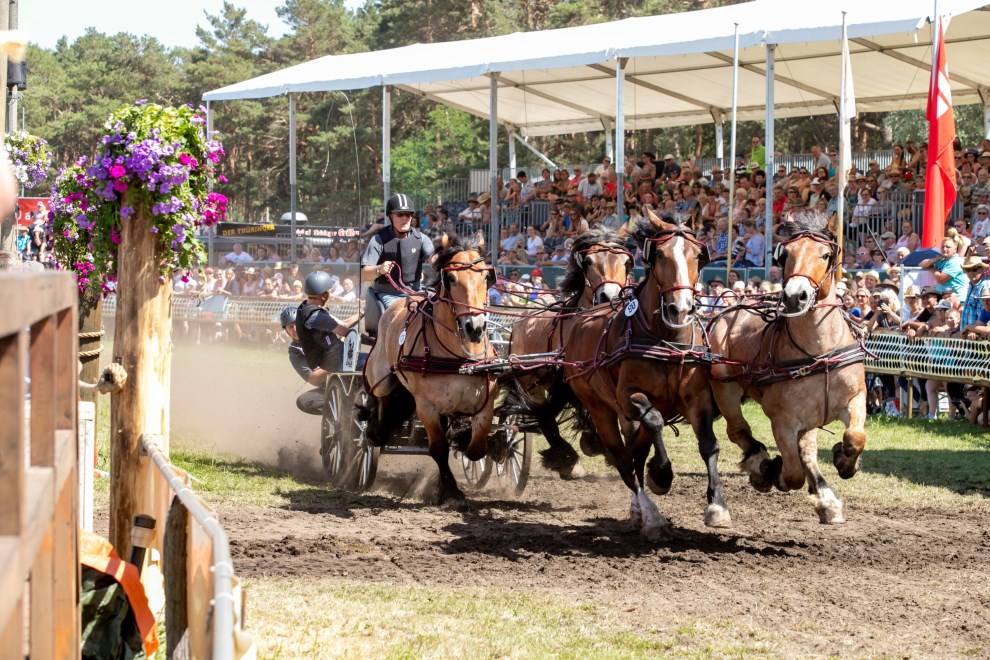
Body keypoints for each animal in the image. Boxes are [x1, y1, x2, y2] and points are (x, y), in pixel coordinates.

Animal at [358, 234, 498, 508]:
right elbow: (439, 449)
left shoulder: (485, 402)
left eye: (487, 277)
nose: (474, 327)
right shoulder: (426, 406)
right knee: (379, 398)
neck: (458, 358)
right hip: (379, 376)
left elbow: (477, 448)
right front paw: (452, 493)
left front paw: (463, 438)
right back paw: (375, 429)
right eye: (451, 278)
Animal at [504, 228, 634, 479]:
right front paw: (596, 445)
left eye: (626, 262)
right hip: (529, 381)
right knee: (545, 419)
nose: (610, 297)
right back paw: (566, 459)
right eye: (589, 261)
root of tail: (519, 322)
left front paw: (597, 443)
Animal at [553, 209, 727, 540]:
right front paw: (662, 475)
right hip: (600, 408)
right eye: (658, 255)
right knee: (624, 460)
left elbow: (709, 444)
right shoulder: (628, 396)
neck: (666, 340)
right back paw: (651, 514)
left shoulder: (698, 398)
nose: (680, 310)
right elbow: (654, 425)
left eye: (698, 256)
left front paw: (717, 506)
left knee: (636, 451)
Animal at [707, 210, 867, 524]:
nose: (795, 296)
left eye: (825, 254)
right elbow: (792, 474)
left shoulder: (855, 398)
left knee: (806, 449)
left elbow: (855, 436)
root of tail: (728, 309)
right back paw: (760, 467)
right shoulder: (782, 419)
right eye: (786, 255)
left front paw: (845, 460)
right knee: (739, 431)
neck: (820, 350)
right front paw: (772, 471)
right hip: (725, 387)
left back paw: (827, 499)